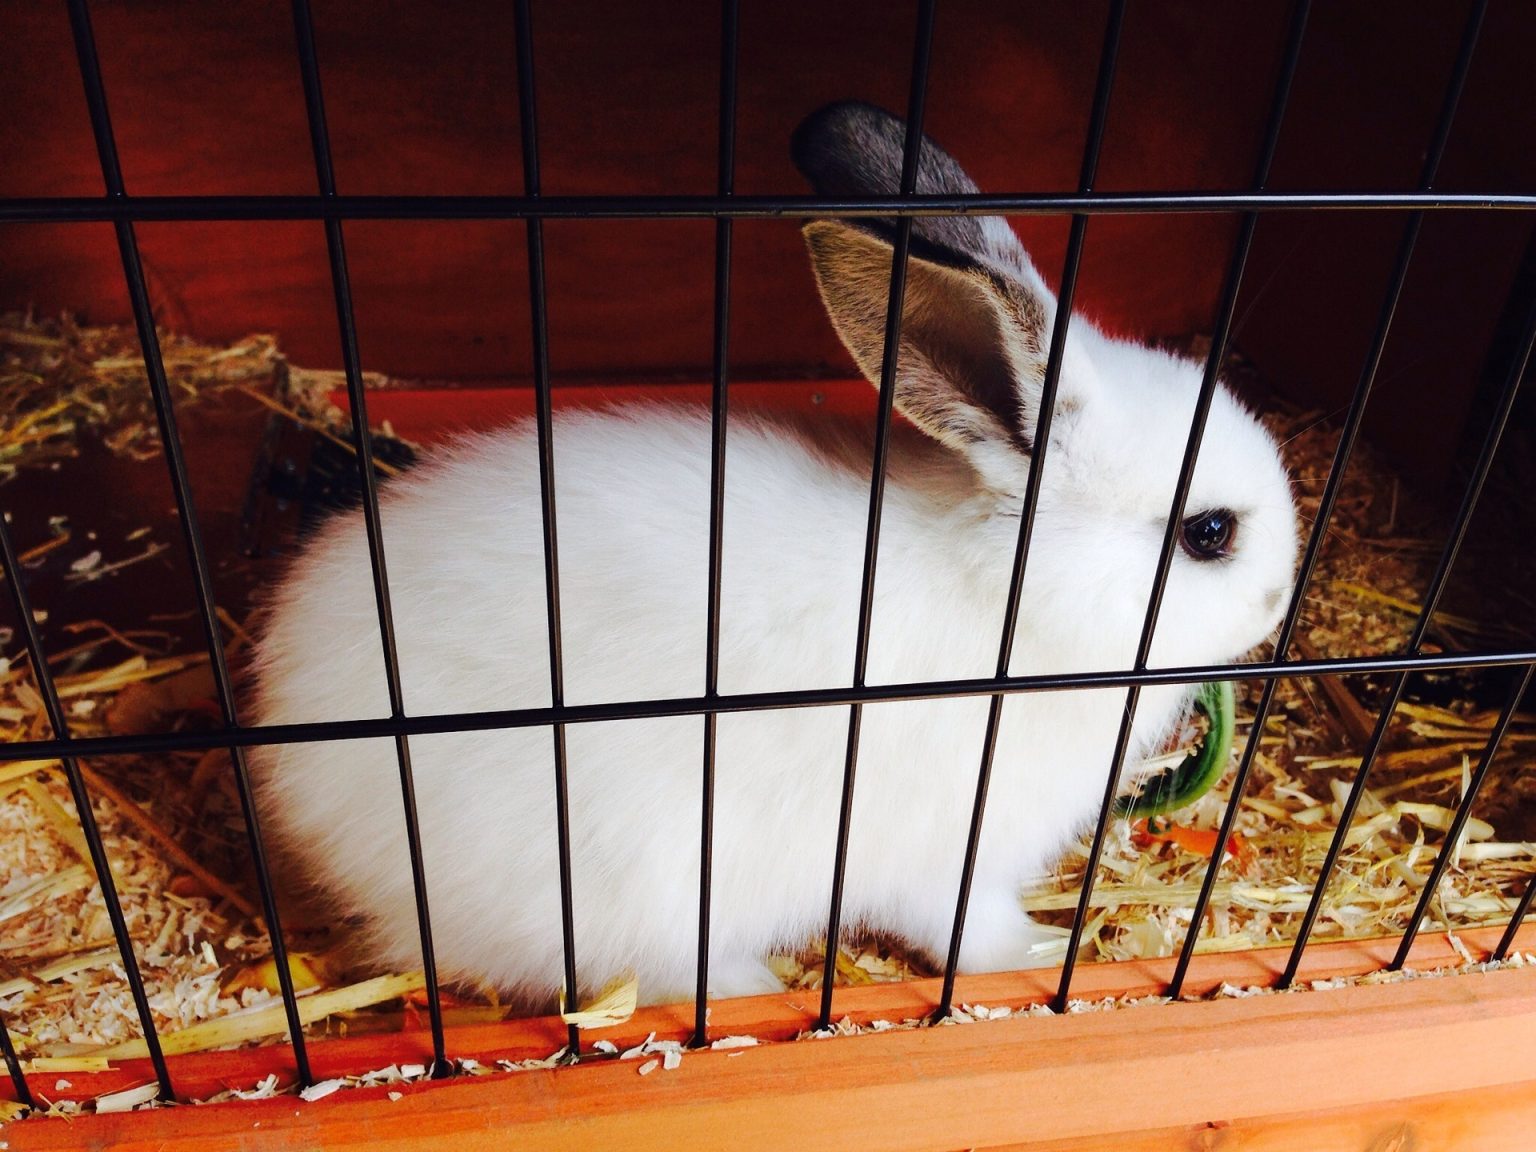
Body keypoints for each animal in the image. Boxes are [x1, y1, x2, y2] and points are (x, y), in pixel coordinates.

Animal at [249, 101, 1298, 1008]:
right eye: (1210, 534)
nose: (1281, 596)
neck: (1015, 601)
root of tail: (295, 766)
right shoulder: (944, 847)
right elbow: (963, 926)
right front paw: (1040, 953)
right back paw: (755, 989)